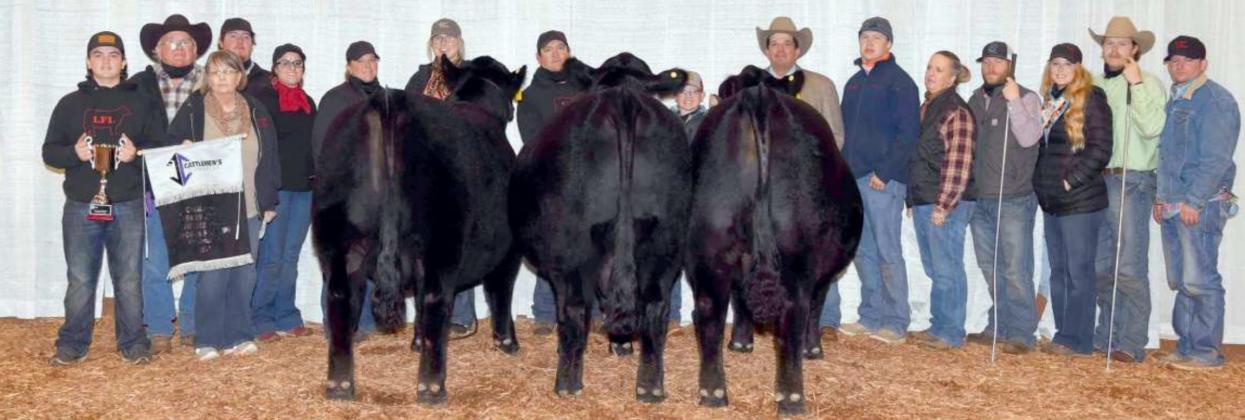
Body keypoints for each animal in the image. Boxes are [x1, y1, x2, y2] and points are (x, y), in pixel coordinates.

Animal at [313, 56, 527, 404]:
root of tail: (388, 102)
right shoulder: (508, 249)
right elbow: (501, 291)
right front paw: (507, 341)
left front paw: (414, 341)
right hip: (441, 244)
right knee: (436, 299)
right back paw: (431, 388)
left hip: (338, 242)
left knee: (340, 297)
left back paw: (340, 385)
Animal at [510, 53, 690, 402]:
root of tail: (623, 98)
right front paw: (621, 346)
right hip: (666, 242)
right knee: (654, 308)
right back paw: (649, 387)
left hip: (570, 250)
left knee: (574, 309)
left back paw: (567, 383)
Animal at [687, 65, 863, 415]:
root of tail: (760, 96)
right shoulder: (822, 272)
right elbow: (817, 305)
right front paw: (813, 349)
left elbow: (740, 300)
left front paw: (741, 342)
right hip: (795, 257)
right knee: (794, 315)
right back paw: (792, 398)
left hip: (710, 249)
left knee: (710, 312)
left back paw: (713, 392)